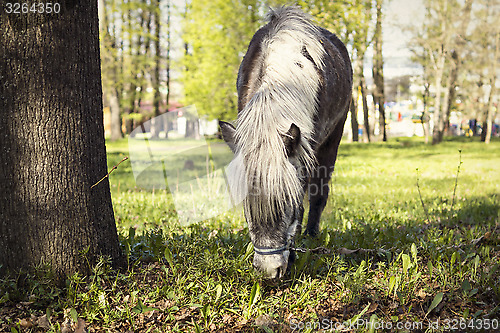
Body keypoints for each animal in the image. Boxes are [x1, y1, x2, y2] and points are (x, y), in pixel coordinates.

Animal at [219, 6, 352, 278]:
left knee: (319, 192)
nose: (270, 272)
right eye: (247, 207)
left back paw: (311, 235)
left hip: (334, 137)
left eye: (286, 203)